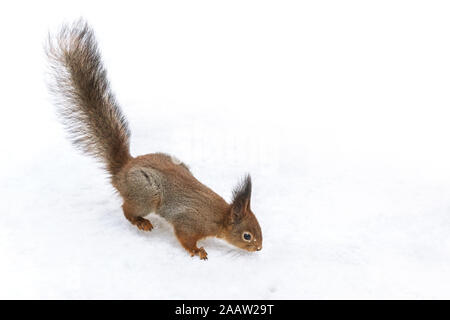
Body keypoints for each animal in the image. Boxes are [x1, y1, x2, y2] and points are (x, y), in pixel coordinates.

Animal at [44, 20, 264, 260]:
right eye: (247, 236)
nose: (259, 247)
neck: (219, 216)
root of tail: (122, 169)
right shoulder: (189, 222)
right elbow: (184, 238)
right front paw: (198, 251)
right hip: (146, 194)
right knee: (127, 209)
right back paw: (141, 222)